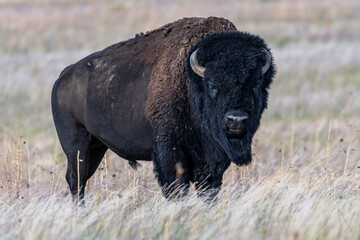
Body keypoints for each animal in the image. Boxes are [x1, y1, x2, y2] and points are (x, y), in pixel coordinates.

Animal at [51, 17, 276, 201]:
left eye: (256, 84)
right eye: (212, 85)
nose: (236, 120)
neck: (191, 82)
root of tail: (62, 76)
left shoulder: (213, 161)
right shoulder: (170, 153)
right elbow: (176, 189)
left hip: (96, 146)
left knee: (82, 178)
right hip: (76, 143)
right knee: (76, 179)